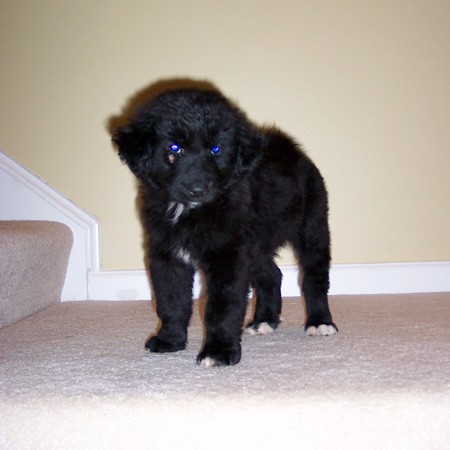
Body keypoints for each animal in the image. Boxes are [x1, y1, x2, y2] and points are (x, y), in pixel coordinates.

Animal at [112, 87, 338, 366]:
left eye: (216, 149)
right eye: (174, 147)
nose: (198, 189)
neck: (190, 212)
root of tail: (292, 150)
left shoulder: (227, 256)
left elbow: (222, 307)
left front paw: (218, 352)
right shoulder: (167, 255)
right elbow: (171, 301)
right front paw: (170, 340)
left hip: (312, 228)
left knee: (314, 277)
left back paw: (319, 322)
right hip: (255, 246)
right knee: (272, 275)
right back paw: (264, 320)